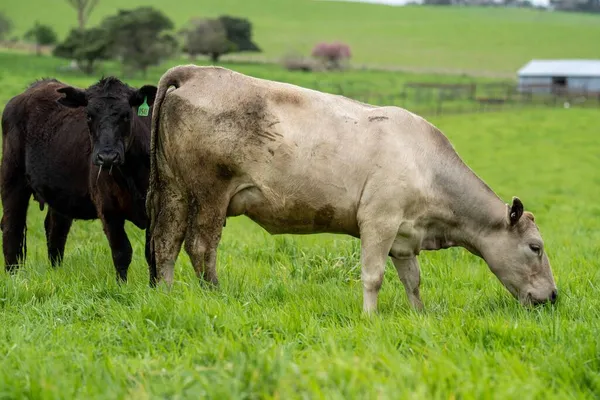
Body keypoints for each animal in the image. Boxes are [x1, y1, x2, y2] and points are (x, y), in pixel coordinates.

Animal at [0, 76, 157, 280]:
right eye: (89, 116)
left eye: (126, 115)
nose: (107, 157)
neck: (132, 173)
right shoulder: (108, 209)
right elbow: (122, 252)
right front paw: (122, 285)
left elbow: (152, 253)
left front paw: (156, 286)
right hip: (12, 179)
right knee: (13, 228)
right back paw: (14, 277)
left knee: (55, 231)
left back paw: (56, 272)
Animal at [145, 65, 556, 310]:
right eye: (535, 247)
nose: (553, 295)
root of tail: (196, 71)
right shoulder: (379, 220)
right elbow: (373, 275)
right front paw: (370, 318)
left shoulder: (404, 237)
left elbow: (413, 281)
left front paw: (420, 316)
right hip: (210, 192)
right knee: (201, 246)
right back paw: (216, 297)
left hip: (174, 189)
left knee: (165, 242)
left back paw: (166, 296)